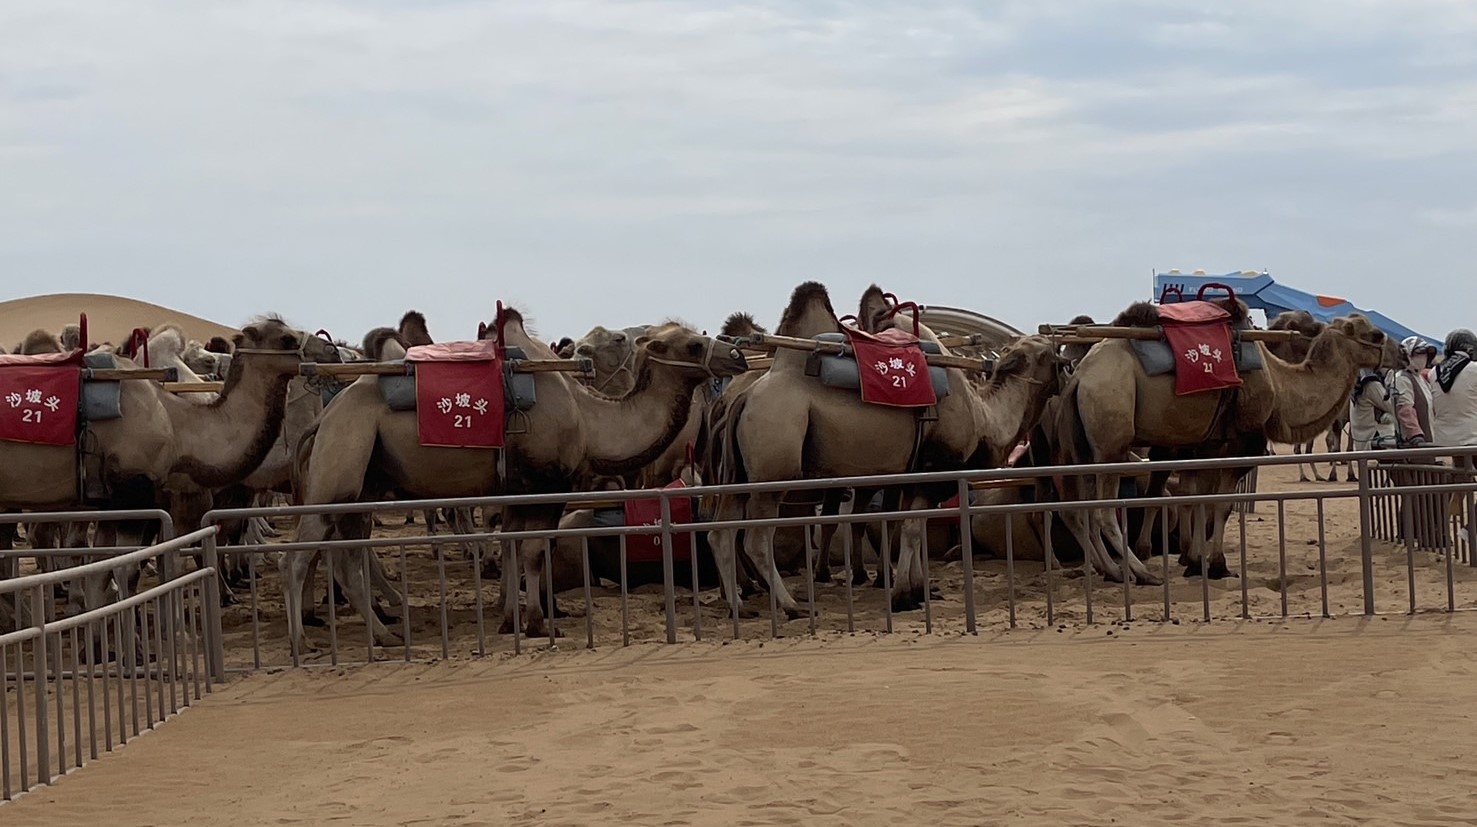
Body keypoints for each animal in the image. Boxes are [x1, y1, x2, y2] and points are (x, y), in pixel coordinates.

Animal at [285, 311, 750, 652]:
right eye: (692, 344)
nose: (738, 356)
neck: (588, 420)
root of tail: (324, 419)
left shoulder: (516, 493)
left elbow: (511, 547)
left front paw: (511, 619)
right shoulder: (546, 488)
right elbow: (532, 553)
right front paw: (539, 623)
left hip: (362, 484)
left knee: (347, 558)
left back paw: (384, 635)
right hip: (339, 466)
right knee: (299, 557)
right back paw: (304, 641)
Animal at [1051, 302, 1382, 581]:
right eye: (1373, 334)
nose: (1393, 352)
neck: (1276, 384)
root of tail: (1079, 376)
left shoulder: (1206, 444)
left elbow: (1198, 498)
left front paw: (1195, 561)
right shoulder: (1240, 444)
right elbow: (1220, 504)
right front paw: (1216, 564)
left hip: (1085, 446)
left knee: (1082, 509)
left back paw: (1112, 570)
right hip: (1111, 433)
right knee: (1104, 512)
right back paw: (1141, 572)